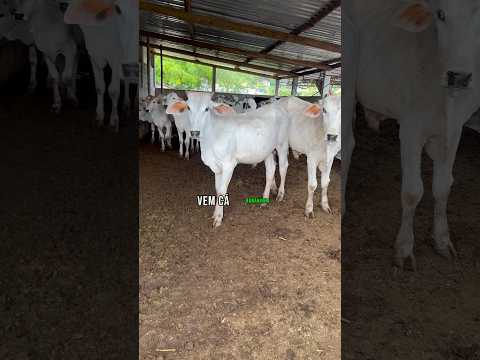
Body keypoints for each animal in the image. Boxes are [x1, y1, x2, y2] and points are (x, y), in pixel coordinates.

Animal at [62, 0, 138, 131]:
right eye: (118, 9)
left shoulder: (116, 57)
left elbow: (113, 90)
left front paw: (113, 120)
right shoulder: (93, 53)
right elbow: (99, 87)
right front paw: (99, 117)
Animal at [167, 93, 290, 228]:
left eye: (206, 109)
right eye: (188, 108)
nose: (194, 132)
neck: (210, 140)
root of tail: (277, 108)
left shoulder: (228, 165)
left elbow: (222, 191)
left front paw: (218, 218)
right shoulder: (216, 167)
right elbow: (217, 189)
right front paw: (215, 214)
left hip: (282, 144)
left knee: (283, 167)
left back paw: (280, 194)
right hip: (267, 151)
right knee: (270, 170)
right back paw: (264, 200)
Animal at [344, 0, 480, 268]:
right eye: (441, 14)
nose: (458, 77)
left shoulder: (454, 131)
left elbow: (443, 186)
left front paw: (442, 240)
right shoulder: (410, 128)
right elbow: (412, 191)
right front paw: (405, 248)